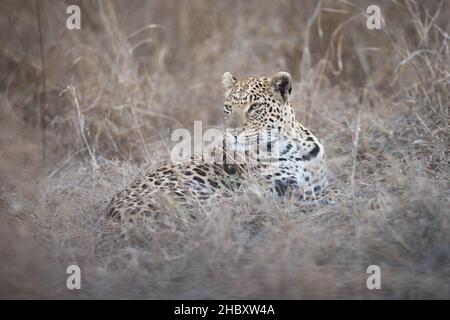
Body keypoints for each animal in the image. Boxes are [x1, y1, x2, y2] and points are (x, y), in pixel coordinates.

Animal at [106, 70, 330, 225]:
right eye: (228, 108)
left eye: (255, 107)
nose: (233, 131)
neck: (290, 145)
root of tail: (113, 216)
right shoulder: (268, 190)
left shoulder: (317, 185)